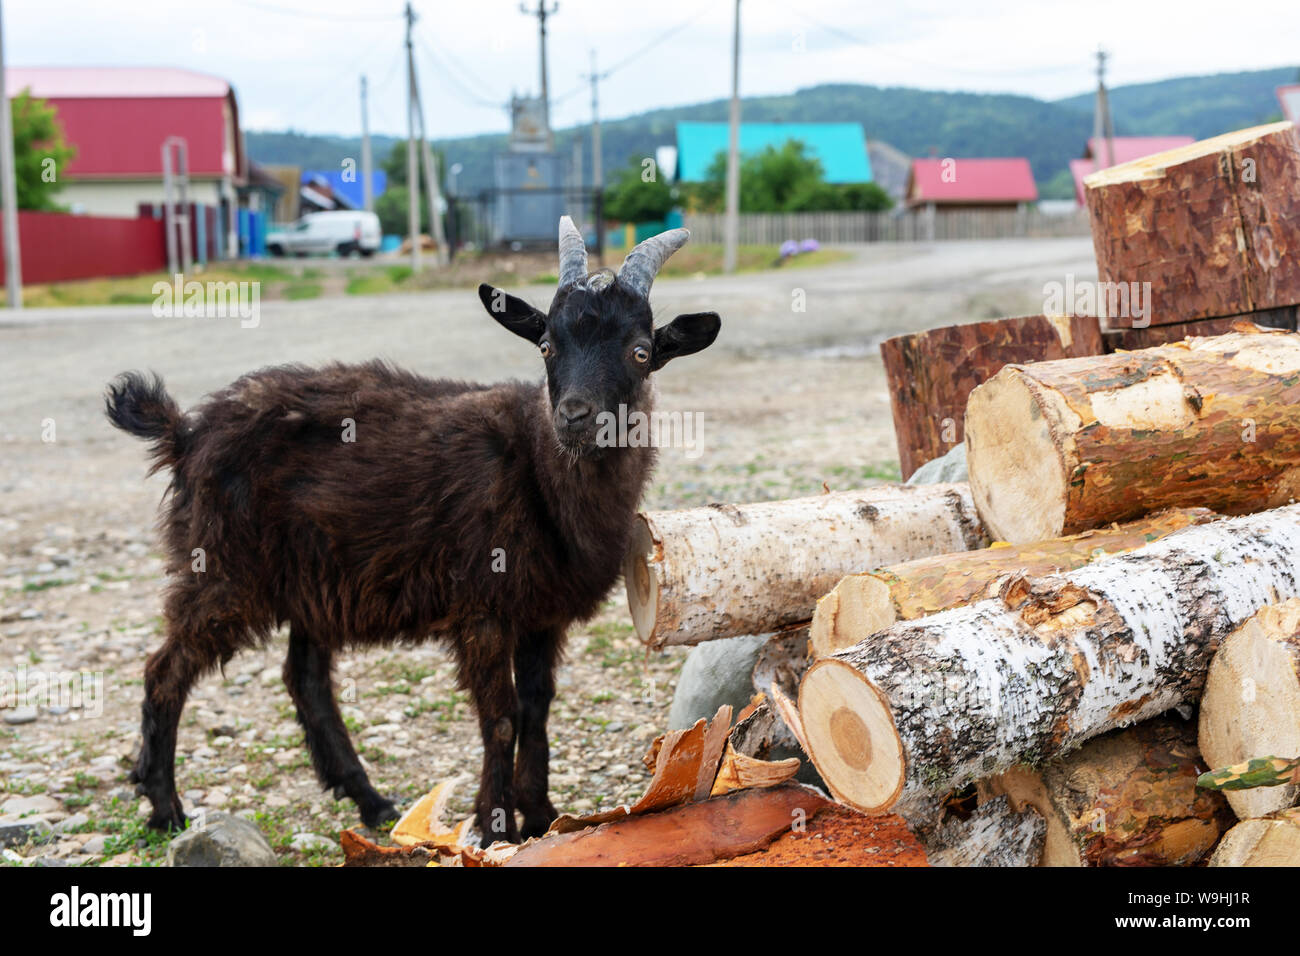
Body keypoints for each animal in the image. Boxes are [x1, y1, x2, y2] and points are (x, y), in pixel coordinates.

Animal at [104, 218, 720, 845]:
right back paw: (165, 807)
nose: (574, 416)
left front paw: (541, 815)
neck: (538, 471)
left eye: (640, 352)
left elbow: (537, 708)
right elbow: (500, 717)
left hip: (310, 583)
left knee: (305, 680)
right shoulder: (483, 607)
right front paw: (493, 825)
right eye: (547, 345)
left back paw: (370, 801)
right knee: (165, 671)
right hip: (223, 568)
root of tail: (185, 433)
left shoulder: (541, 613)